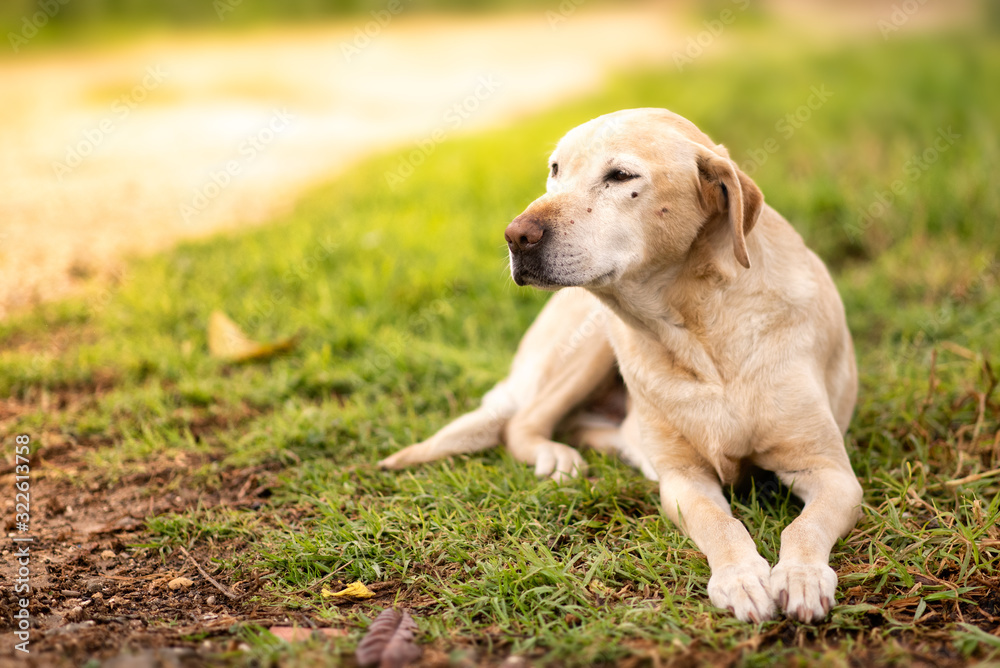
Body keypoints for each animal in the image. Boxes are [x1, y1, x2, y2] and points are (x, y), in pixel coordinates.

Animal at [378, 107, 864, 624]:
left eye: (621, 176)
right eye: (555, 170)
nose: (515, 236)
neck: (698, 332)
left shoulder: (831, 472)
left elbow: (804, 527)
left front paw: (802, 575)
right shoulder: (684, 480)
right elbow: (720, 523)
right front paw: (741, 577)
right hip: (592, 341)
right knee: (522, 424)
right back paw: (556, 457)